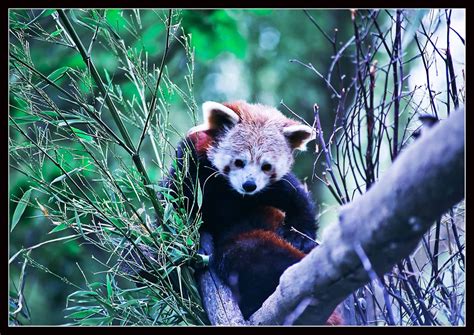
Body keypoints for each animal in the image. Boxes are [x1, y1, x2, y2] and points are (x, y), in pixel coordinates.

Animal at [165, 100, 342, 326]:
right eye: (239, 162)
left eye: (266, 166)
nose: (249, 185)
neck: (230, 190)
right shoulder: (190, 164)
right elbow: (172, 202)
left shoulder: (270, 188)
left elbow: (297, 199)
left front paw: (301, 235)